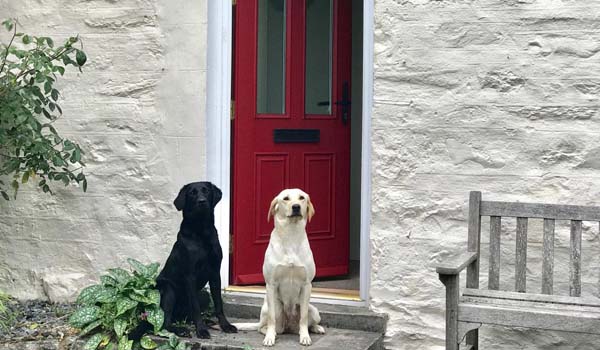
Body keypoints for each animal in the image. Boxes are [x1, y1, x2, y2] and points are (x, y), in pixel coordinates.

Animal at [150, 183, 237, 340]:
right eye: (191, 193)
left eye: (206, 191)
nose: (202, 201)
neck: (201, 231)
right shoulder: (190, 276)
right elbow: (195, 307)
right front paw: (201, 330)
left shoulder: (215, 273)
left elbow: (218, 304)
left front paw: (225, 325)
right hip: (168, 290)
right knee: (165, 322)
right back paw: (181, 330)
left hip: (204, 294)